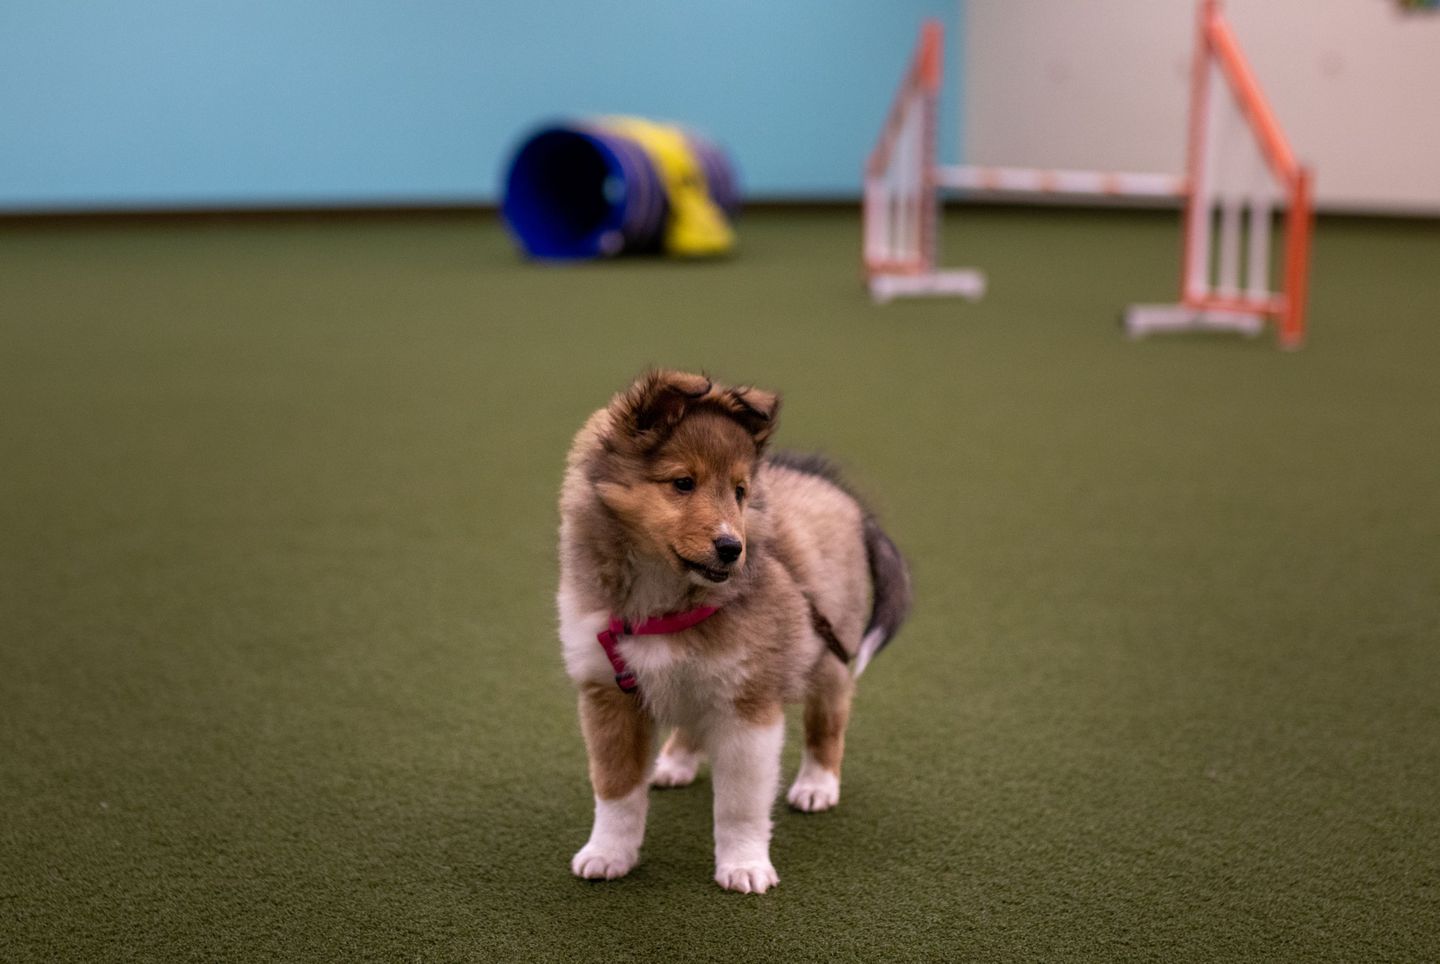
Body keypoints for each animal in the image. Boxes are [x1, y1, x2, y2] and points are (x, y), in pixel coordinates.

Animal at [552, 371, 904, 893]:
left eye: (739, 491)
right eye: (683, 483)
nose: (731, 548)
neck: (663, 602)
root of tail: (845, 498)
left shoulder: (748, 705)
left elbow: (739, 804)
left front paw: (744, 866)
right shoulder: (608, 694)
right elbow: (616, 789)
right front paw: (608, 854)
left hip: (830, 656)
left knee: (828, 722)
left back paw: (816, 786)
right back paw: (675, 763)